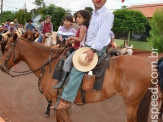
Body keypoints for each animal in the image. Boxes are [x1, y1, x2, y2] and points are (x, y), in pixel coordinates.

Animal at [0, 33, 153, 121]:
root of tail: (147, 65)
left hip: (131, 105)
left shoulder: (57, 102)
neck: (50, 66)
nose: (1, 66)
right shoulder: (63, 105)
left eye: (6, 48)